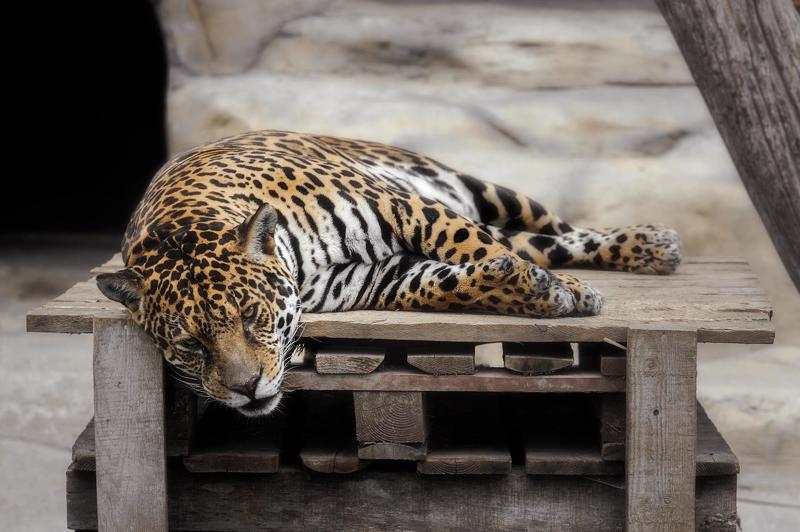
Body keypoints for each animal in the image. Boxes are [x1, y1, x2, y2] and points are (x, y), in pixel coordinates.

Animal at [97, 130, 681, 417]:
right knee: (535, 244)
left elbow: (471, 245)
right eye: (190, 345)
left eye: (252, 316)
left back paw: (648, 246)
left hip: (473, 189)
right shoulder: (373, 276)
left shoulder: (405, 207)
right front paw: (535, 289)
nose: (246, 389)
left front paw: (564, 292)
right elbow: (447, 283)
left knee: (550, 231)